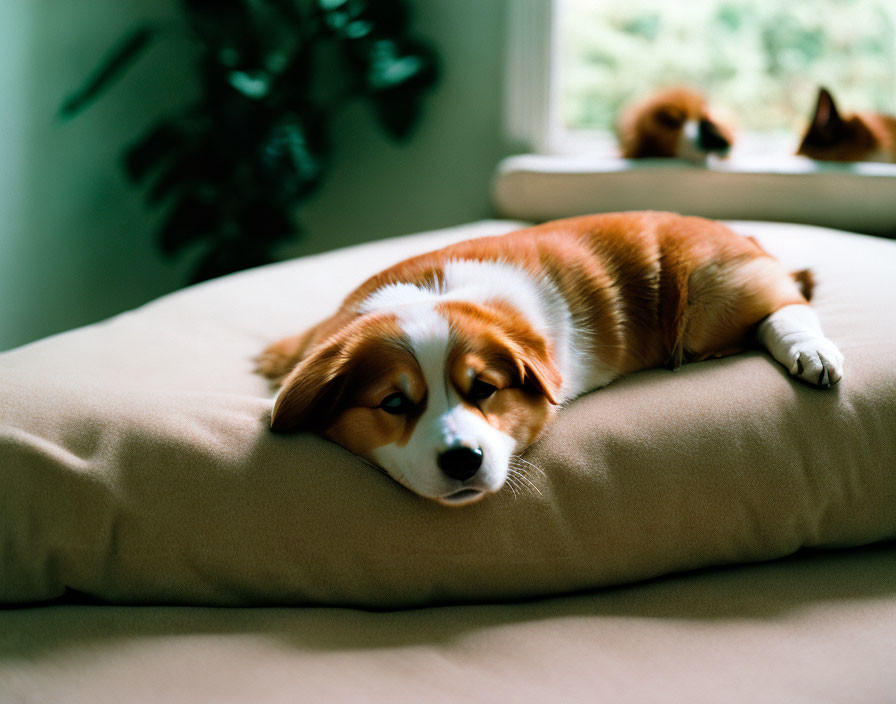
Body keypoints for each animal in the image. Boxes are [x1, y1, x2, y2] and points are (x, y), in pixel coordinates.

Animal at [256, 212, 844, 504]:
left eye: (484, 389)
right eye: (394, 403)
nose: (463, 461)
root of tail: (742, 234)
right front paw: (278, 360)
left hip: (712, 289)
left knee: (785, 301)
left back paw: (810, 351)